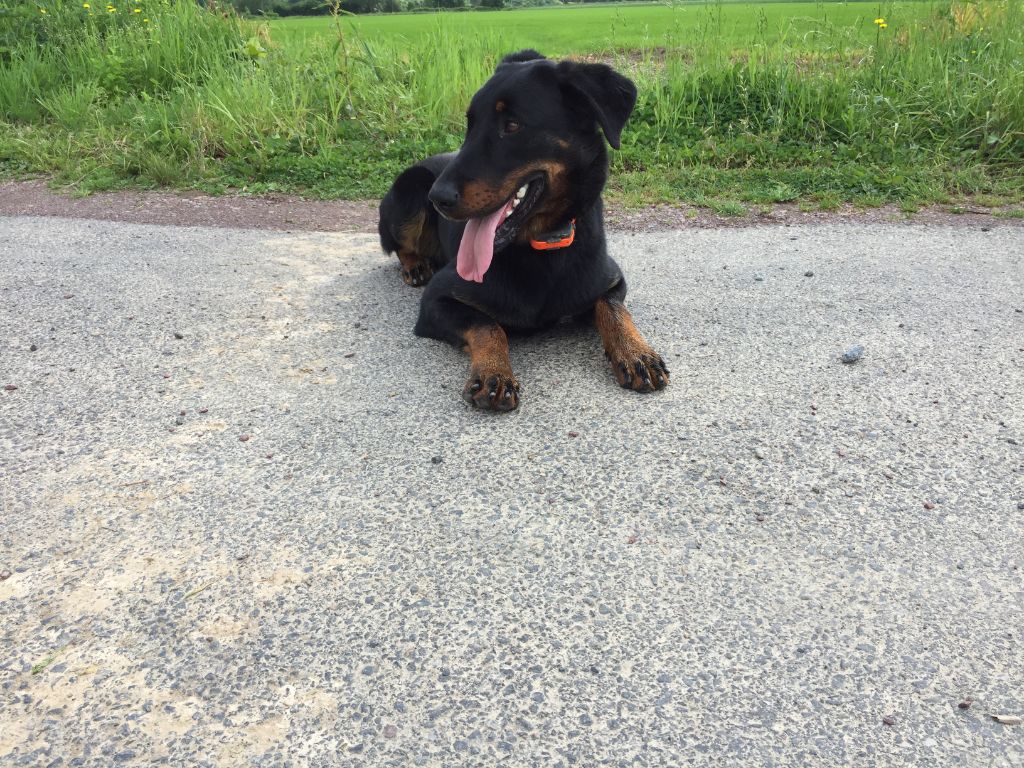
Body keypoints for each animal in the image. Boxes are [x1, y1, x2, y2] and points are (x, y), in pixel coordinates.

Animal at [380, 48, 667, 411]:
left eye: (512, 126)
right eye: (470, 126)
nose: (438, 198)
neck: (544, 244)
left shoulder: (611, 280)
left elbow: (614, 310)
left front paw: (635, 351)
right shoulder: (437, 300)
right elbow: (488, 325)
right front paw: (494, 371)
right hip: (409, 189)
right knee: (397, 245)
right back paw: (415, 264)